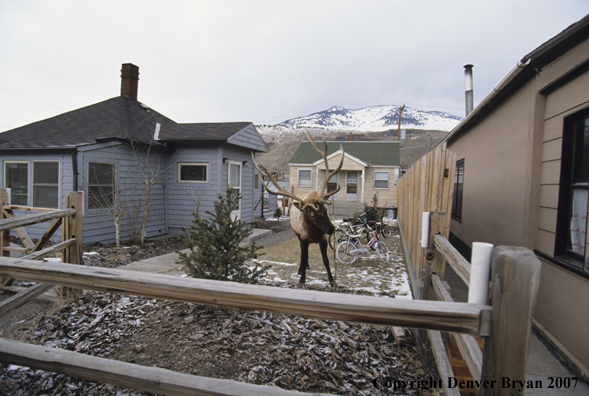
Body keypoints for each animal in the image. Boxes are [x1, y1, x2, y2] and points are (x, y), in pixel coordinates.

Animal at [253, 131, 344, 286]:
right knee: (302, 252)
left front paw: (332, 280)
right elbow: (303, 254)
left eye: (326, 211)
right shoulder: (303, 237)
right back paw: (301, 269)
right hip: (296, 233)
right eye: (313, 215)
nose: (331, 229)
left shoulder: (323, 239)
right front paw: (302, 279)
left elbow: (326, 260)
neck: (314, 233)